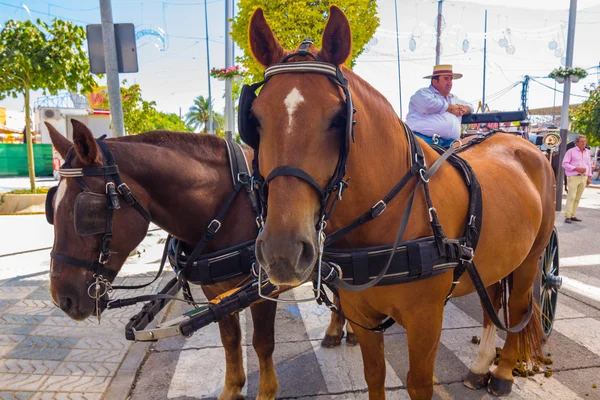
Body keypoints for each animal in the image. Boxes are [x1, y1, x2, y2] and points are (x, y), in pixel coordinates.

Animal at [47, 122, 290, 400]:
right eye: (51, 207)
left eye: (87, 213)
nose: (62, 299)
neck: (236, 201)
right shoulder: (214, 290)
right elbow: (229, 339)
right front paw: (232, 388)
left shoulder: (262, 289)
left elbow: (262, 342)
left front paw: (266, 391)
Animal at [246, 6, 556, 400]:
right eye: (255, 120)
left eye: (338, 118)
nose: (281, 253)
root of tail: (521, 141)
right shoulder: (363, 315)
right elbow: (375, 374)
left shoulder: (426, 321)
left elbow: (418, 382)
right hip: (493, 260)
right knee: (492, 304)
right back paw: (481, 365)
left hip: (532, 258)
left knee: (516, 309)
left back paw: (502, 372)